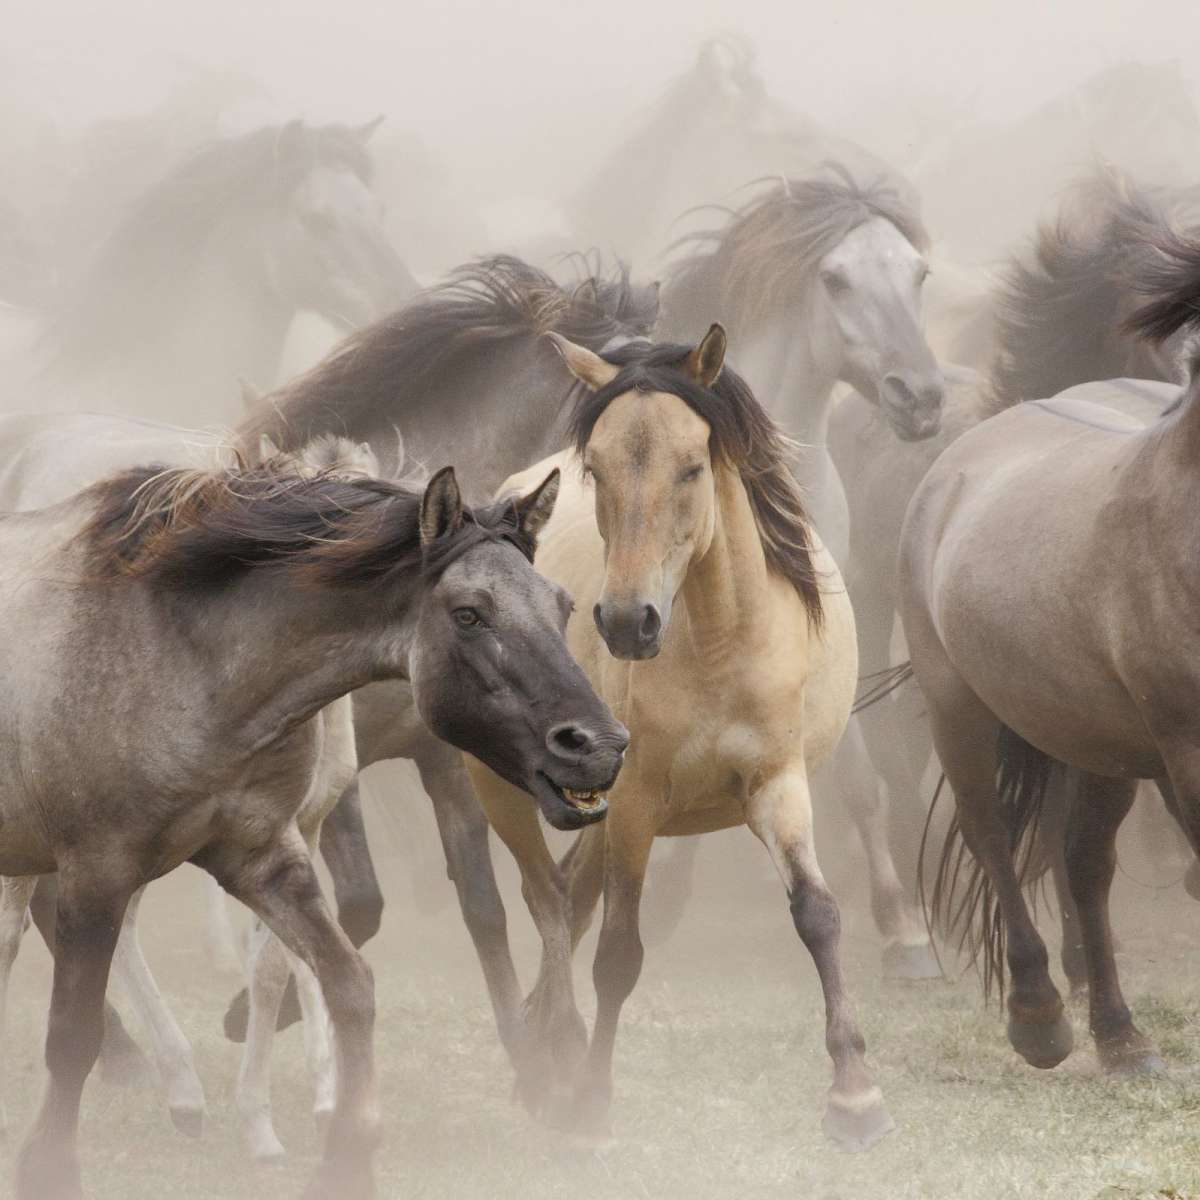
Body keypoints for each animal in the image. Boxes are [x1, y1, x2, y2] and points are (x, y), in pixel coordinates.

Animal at [0, 440, 626, 1200]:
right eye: (469, 613)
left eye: (562, 605)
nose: (599, 746)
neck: (175, 658)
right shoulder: (98, 873)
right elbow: (71, 1032)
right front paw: (47, 1168)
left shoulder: (264, 859)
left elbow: (349, 982)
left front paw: (347, 1155)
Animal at [468, 326, 893, 1150]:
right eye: (595, 471)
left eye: (693, 466)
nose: (627, 622)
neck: (721, 644)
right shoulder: (635, 804)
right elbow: (617, 954)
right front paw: (591, 1098)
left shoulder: (778, 785)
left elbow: (818, 916)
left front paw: (856, 1096)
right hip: (509, 794)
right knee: (548, 900)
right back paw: (545, 1062)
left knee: (568, 897)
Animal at [895, 227, 1200, 1081]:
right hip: (960, 710)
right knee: (993, 836)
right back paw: (1040, 1020)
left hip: (1097, 740)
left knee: (1085, 864)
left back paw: (1121, 1036)